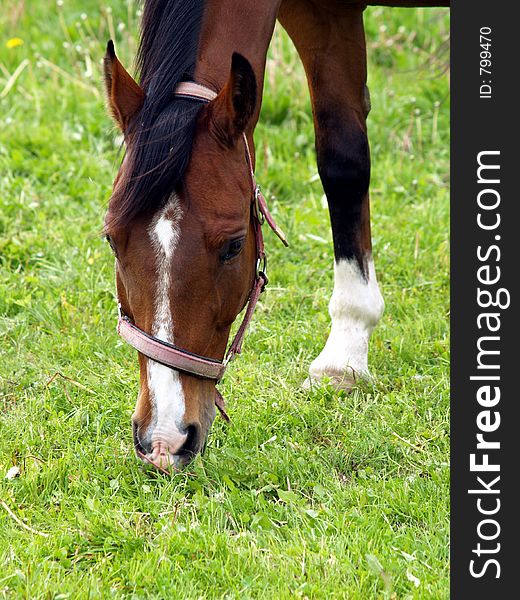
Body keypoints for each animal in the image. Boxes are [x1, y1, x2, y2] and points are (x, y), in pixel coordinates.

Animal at [103, 0, 448, 468]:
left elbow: (347, 164)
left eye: (234, 246)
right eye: (112, 239)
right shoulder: (318, 13)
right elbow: (340, 157)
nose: (163, 441)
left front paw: (346, 352)